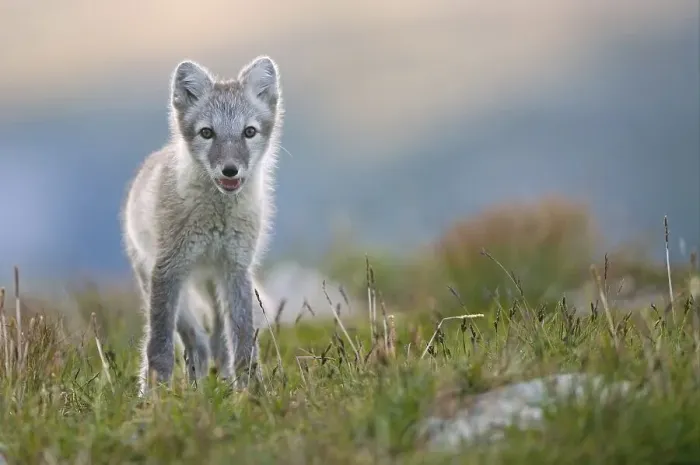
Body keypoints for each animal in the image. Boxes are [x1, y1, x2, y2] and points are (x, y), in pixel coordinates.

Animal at [120, 55, 283, 395]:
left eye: (249, 131)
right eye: (207, 133)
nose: (230, 170)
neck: (216, 221)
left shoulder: (236, 269)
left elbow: (243, 340)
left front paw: (251, 392)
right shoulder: (168, 269)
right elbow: (159, 344)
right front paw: (153, 395)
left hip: (214, 282)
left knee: (217, 341)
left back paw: (218, 380)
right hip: (158, 278)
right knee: (195, 340)